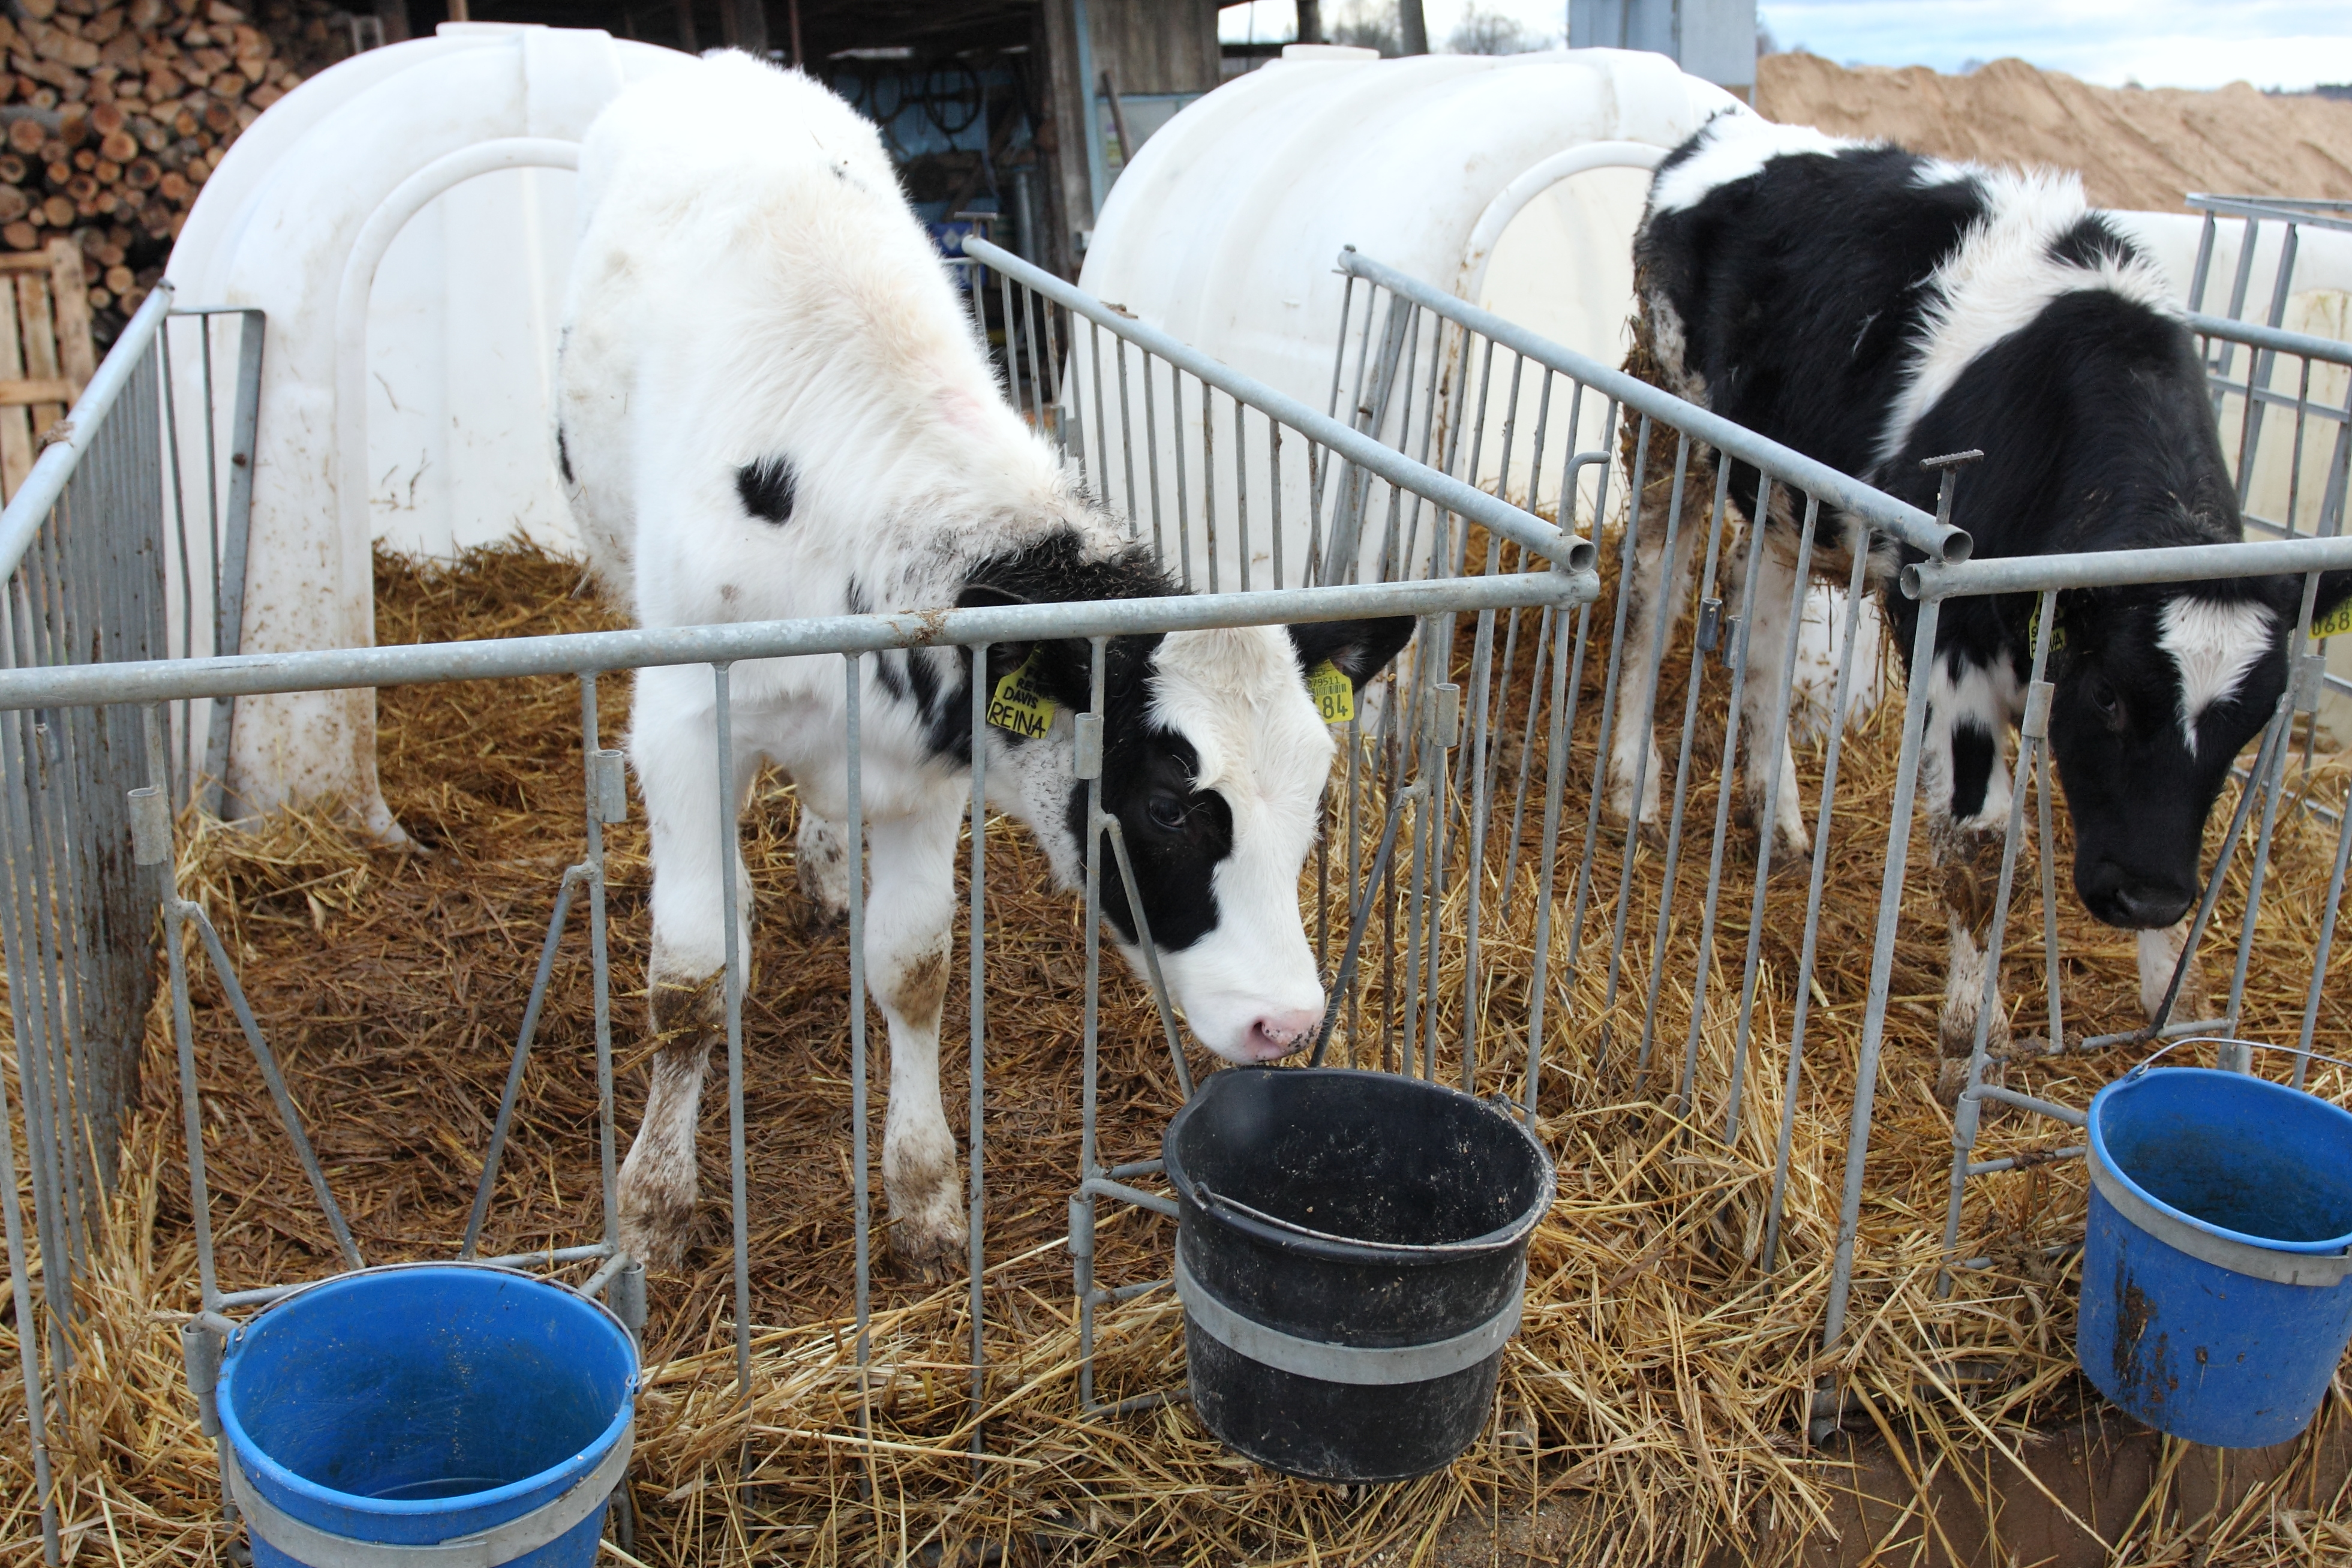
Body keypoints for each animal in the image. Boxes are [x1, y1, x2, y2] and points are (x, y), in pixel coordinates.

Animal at [550, 52, 1411, 1278]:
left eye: (1317, 797)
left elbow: (912, 968)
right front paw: (657, 1202)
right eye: (1164, 805)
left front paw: (923, 1195)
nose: (1286, 1022)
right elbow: (690, 976)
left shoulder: (928, 762)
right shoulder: (678, 721)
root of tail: (723, 66)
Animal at [1618, 110, 2352, 1081]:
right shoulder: (1948, 624)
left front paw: (2180, 1007)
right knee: (1651, 594)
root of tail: (1725, 124)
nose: (2146, 898)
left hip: (1791, 496)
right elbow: (1983, 838)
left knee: (1763, 632)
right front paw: (1976, 1034)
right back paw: (1631, 783)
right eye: (2109, 695)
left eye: (2257, 717)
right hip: (1671, 420)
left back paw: (1778, 823)